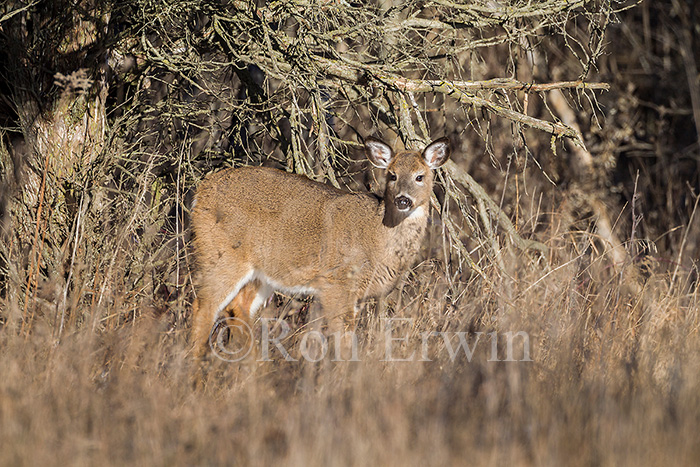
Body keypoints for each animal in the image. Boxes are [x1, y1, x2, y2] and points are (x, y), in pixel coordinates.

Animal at [191, 137, 452, 356]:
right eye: (392, 175)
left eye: (420, 176)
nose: (403, 200)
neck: (378, 236)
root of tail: (201, 189)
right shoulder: (336, 282)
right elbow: (343, 340)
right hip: (222, 255)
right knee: (203, 308)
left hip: (261, 272)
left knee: (237, 308)